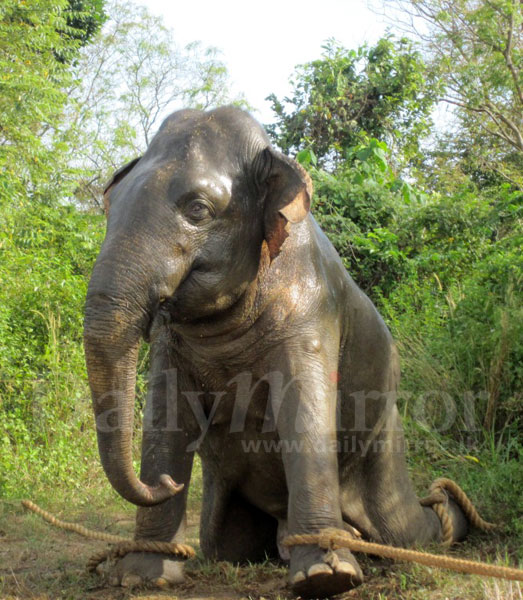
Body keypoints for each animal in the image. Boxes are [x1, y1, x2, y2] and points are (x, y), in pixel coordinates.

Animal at [84, 105, 468, 596]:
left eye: (197, 209)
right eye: (110, 208)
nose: (169, 483)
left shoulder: (312, 311)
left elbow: (305, 407)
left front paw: (325, 577)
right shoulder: (172, 344)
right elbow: (165, 415)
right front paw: (139, 576)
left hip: (386, 449)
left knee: (408, 533)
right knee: (231, 547)